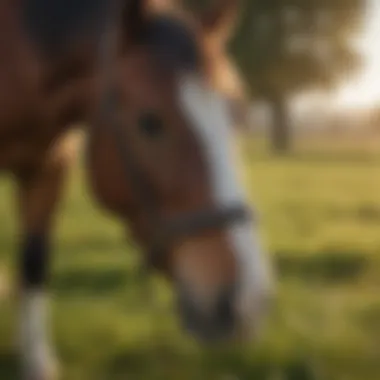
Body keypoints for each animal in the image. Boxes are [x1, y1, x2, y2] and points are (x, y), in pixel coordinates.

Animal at [0, 0, 274, 378]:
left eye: (238, 114)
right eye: (149, 122)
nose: (248, 302)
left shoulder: (49, 169)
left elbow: (34, 260)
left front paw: (36, 359)